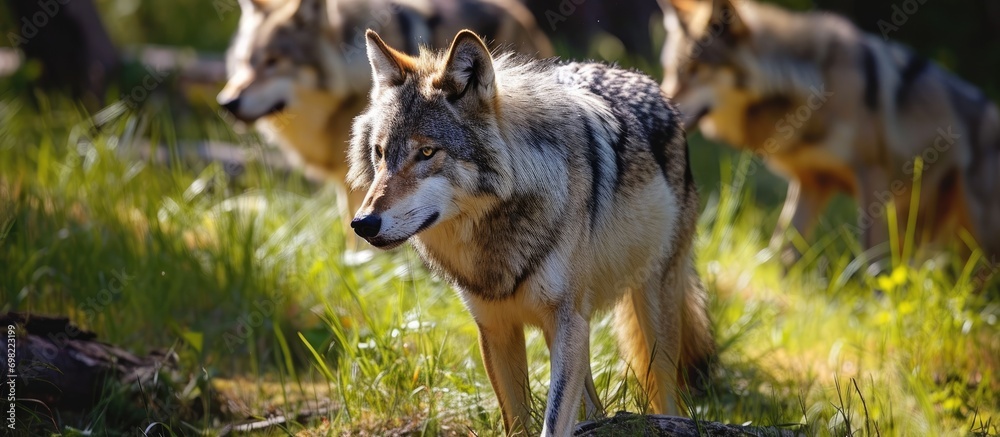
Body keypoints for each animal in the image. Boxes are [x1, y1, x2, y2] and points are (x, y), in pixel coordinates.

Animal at [347, 29, 714, 436]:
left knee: (664, 393)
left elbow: (552, 423)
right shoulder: (496, 328)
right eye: (380, 154)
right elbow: (519, 422)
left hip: (649, 311)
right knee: (593, 404)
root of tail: (648, 82)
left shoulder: (566, 321)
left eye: (427, 152)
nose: (363, 224)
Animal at [659, 0, 1000, 261]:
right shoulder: (811, 183)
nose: (663, 106)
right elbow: (783, 250)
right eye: (670, 71)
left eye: (695, 71)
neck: (817, 85)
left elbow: (872, 258)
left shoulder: (872, 176)